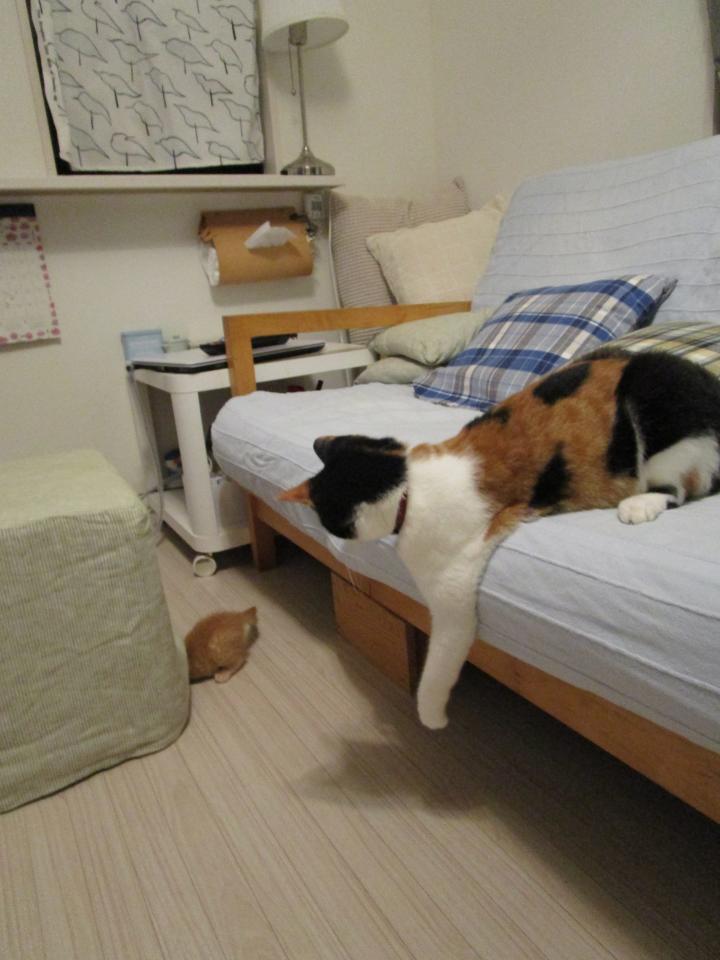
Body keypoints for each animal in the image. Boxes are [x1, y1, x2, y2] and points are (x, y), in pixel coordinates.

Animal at [279, 349, 720, 729]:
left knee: (680, 488)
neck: (410, 486)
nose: (337, 543)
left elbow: (440, 661)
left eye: (329, 523)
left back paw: (640, 504)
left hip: (661, 403)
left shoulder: (453, 592)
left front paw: (431, 716)